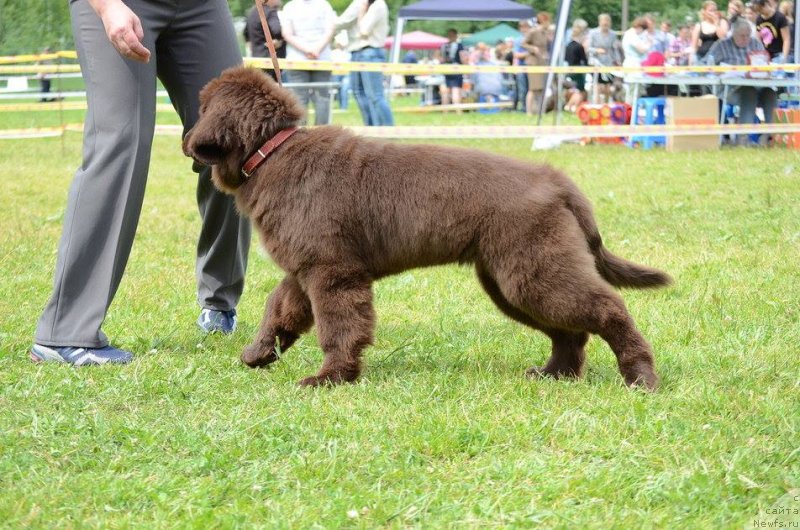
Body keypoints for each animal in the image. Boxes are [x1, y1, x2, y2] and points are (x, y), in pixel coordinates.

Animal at [184, 66, 672, 388]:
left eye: (202, 106)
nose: (185, 140)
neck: (273, 152)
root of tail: (557, 180)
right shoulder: (305, 269)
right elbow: (278, 308)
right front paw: (257, 354)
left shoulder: (332, 271)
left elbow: (339, 327)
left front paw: (330, 378)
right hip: (510, 279)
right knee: (570, 330)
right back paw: (555, 375)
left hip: (532, 270)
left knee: (608, 309)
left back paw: (640, 376)